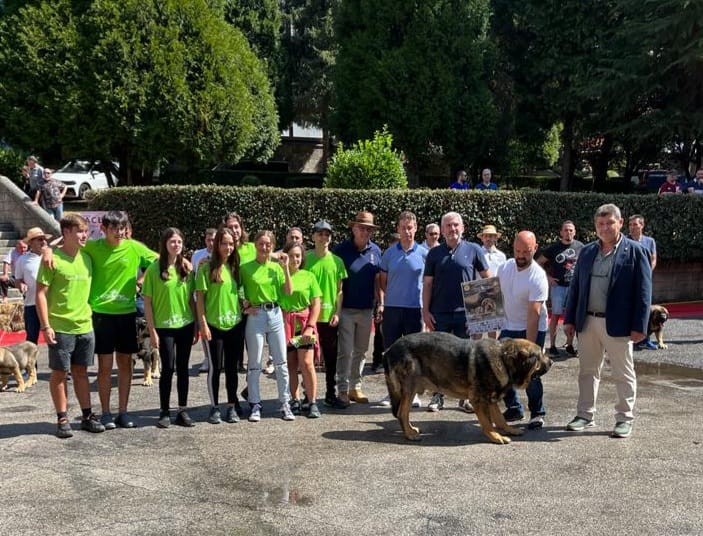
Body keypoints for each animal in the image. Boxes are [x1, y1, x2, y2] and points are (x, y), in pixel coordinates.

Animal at [382, 336, 552, 444]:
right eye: (541, 355)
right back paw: (409, 434)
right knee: (402, 413)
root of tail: (389, 350)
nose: (551, 362)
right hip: (409, 389)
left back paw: (411, 429)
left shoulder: (491, 400)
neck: (503, 360)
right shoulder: (478, 400)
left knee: (402, 413)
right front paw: (495, 436)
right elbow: (487, 423)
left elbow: (500, 419)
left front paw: (508, 430)